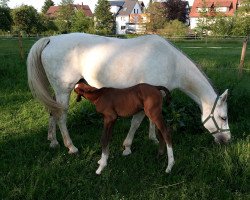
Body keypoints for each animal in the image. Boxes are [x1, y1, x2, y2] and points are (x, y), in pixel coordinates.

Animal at [26, 32, 230, 173]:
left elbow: (150, 122)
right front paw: (127, 147)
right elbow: (136, 122)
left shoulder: (154, 98)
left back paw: (53, 141)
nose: (228, 140)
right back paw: (71, 147)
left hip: (58, 91)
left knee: (52, 111)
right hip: (64, 89)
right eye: (223, 117)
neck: (172, 63)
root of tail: (51, 39)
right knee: (61, 116)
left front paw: (153, 138)